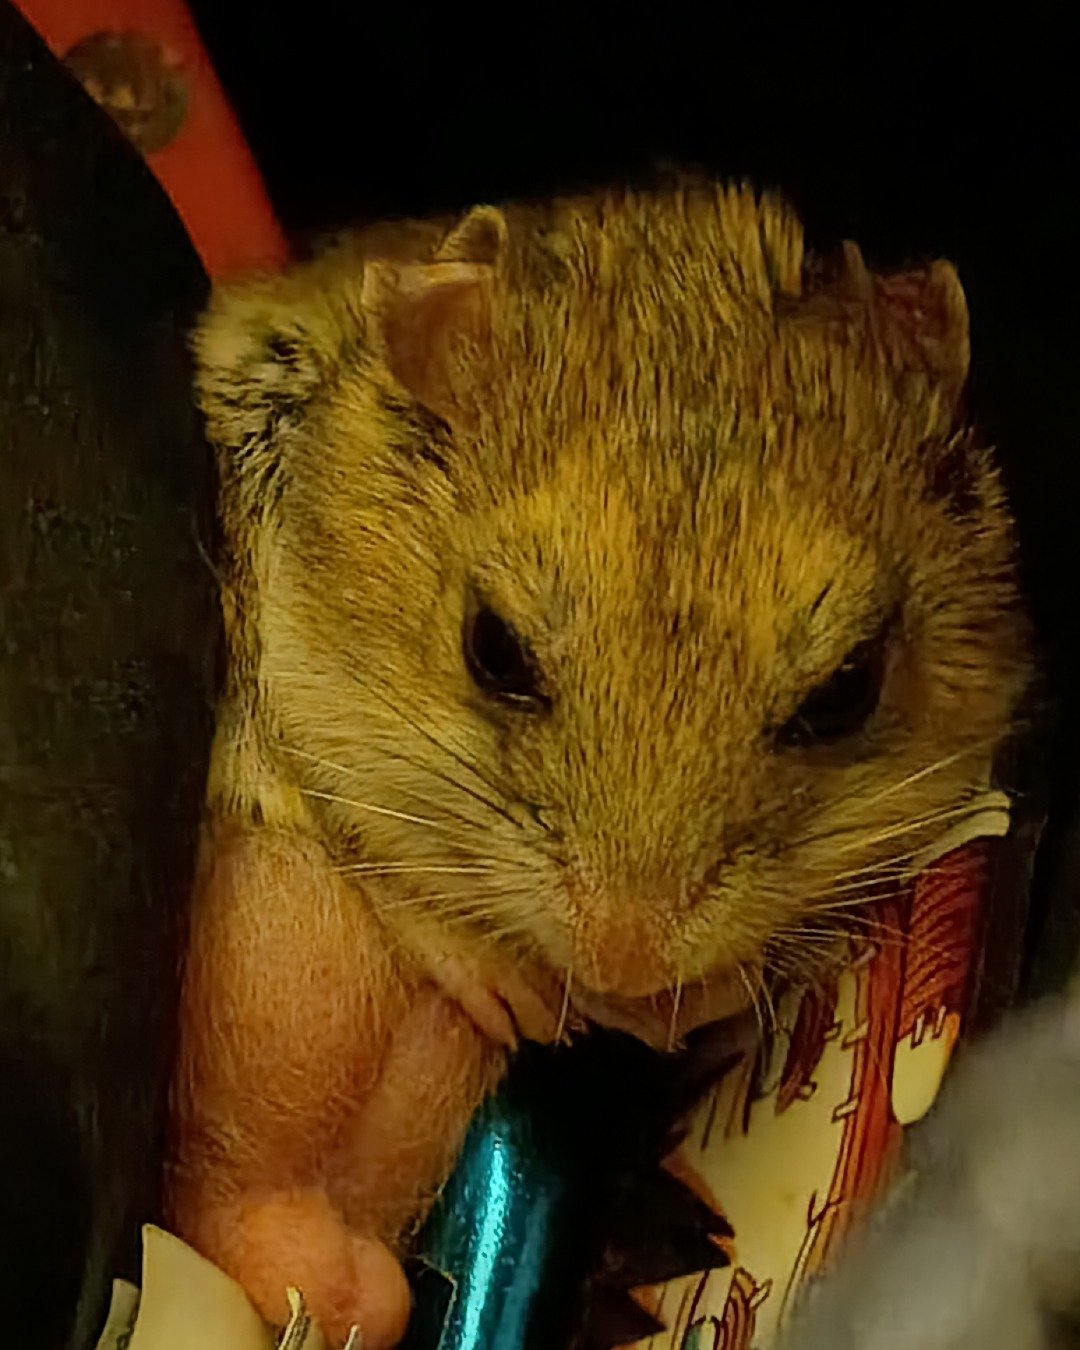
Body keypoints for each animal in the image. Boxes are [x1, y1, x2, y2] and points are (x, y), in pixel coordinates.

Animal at [166, 178, 1031, 1348]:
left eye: (848, 691)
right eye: (492, 647)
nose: (623, 964)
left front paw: (667, 1008)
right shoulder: (301, 693)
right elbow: (395, 874)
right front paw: (532, 1003)